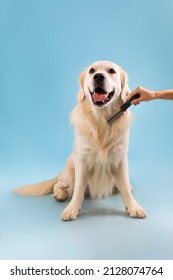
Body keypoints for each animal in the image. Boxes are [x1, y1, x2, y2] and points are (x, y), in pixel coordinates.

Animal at [15, 60, 146, 220]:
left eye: (111, 71)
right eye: (92, 70)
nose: (98, 76)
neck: (101, 121)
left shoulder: (120, 158)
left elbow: (125, 188)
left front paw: (133, 207)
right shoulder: (82, 159)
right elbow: (78, 190)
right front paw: (72, 209)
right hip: (70, 170)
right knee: (59, 184)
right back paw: (59, 194)